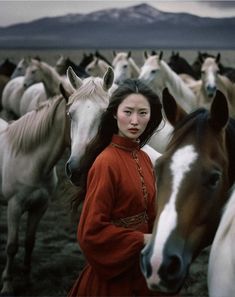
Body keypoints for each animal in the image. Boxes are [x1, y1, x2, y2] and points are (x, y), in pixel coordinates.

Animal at [0, 95, 70, 294]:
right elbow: (12, 246)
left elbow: (30, 242)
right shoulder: (14, 207)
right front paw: (7, 285)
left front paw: (28, 279)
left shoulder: (40, 207)